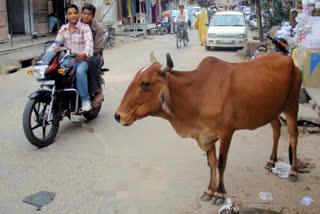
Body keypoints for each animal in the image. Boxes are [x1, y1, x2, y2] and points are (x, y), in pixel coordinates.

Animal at [114, 51, 302, 206]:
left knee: (294, 135)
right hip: (273, 111)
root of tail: (287, 58)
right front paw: (209, 190)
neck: (197, 93)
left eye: (145, 83)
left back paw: (293, 171)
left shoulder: (226, 132)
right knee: (276, 130)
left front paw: (220, 193)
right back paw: (271, 161)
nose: (118, 116)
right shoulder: (206, 135)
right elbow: (211, 163)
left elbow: (220, 163)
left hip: (292, 106)